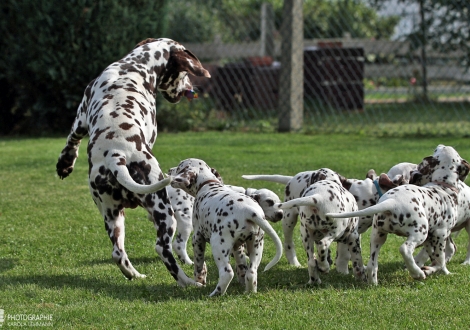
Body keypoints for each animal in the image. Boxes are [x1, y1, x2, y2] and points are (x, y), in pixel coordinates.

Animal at [55, 38, 209, 286]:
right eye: (184, 73)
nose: (189, 88)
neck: (134, 67)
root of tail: (116, 156)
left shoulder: (81, 117)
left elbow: (72, 140)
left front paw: (65, 164)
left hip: (112, 215)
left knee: (118, 253)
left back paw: (134, 274)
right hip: (164, 210)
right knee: (163, 248)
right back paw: (189, 280)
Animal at [169, 159, 280, 296]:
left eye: (179, 167)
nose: (169, 170)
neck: (208, 184)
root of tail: (250, 211)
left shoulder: (197, 238)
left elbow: (199, 264)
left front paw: (199, 281)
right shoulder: (238, 247)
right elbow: (241, 266)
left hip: (218, 245)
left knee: (227, 273)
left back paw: (215, 294)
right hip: (256, 246)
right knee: (251, 272)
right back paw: (249, 292)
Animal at [326, 146, 470, 284]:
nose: (417, 170)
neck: (442, 184)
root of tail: (392, 202)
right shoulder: (440, 234)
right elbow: (439, 260)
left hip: (378, 236)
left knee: (373, 263)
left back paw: (374, 281)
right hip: (420, 233)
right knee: (405, 249)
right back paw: (418, 273)